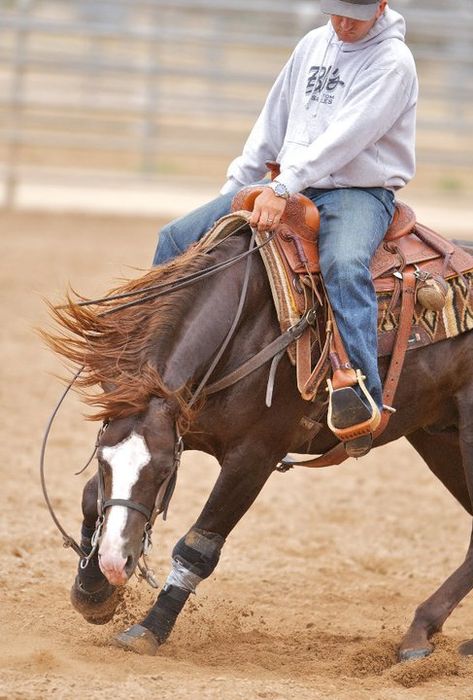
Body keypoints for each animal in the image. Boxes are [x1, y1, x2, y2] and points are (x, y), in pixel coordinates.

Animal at [43, 209, 473, 660]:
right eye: (103, 460)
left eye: (162, 472)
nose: (115, 562)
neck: (243, 327)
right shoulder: (182, 425)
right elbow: (91, 497)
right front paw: (92, 590)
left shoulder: (255, 456)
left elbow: (199, 546)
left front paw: (148, 628)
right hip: (438, 436)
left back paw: (419, 632)